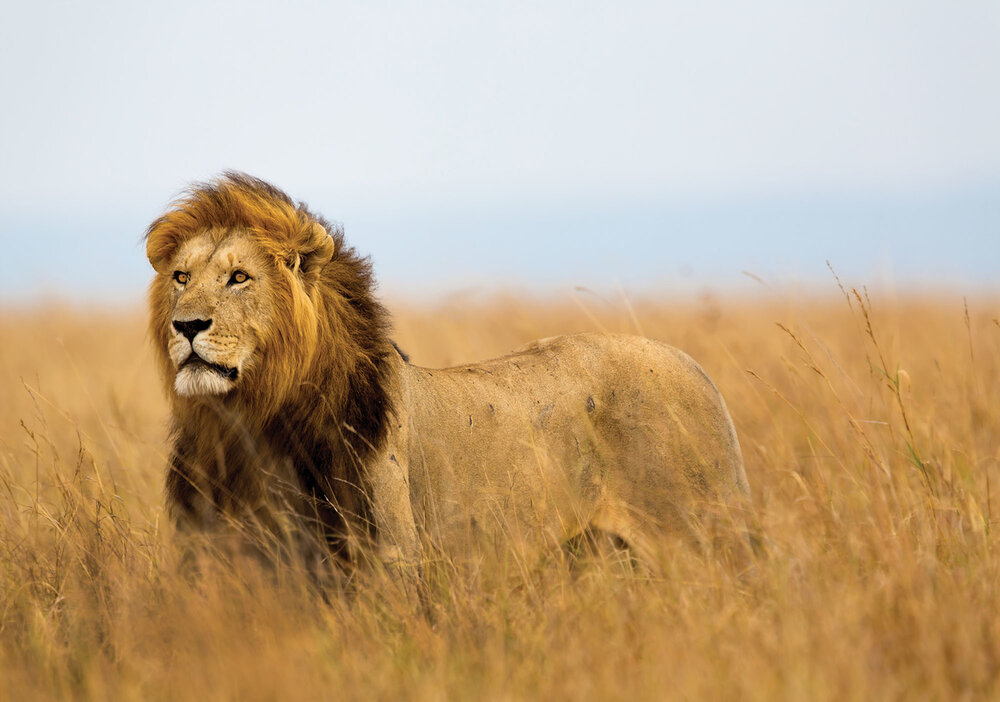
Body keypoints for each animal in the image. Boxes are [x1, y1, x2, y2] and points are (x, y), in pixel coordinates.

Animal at [146, 172, 750, 576]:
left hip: (704, 540)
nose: (187, 325)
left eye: (239, 277)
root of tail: (696, 368)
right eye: (181, 277)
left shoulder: (388, 563)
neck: (249, 422)